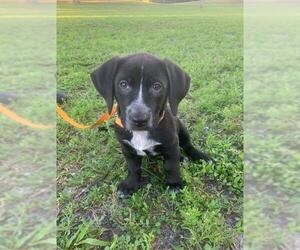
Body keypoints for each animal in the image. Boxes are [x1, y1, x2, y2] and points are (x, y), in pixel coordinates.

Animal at [91, 53, 211, 197]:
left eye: (157, 86)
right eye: (123, 84)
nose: (139, 119)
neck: (141, 133)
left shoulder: (171, 144)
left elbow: (171, 166)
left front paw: (174, 183)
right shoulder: (127, 148)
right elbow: (133, 168)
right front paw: (130, 184)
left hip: (181, 129)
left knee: (187, 146)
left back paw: (199, 157)